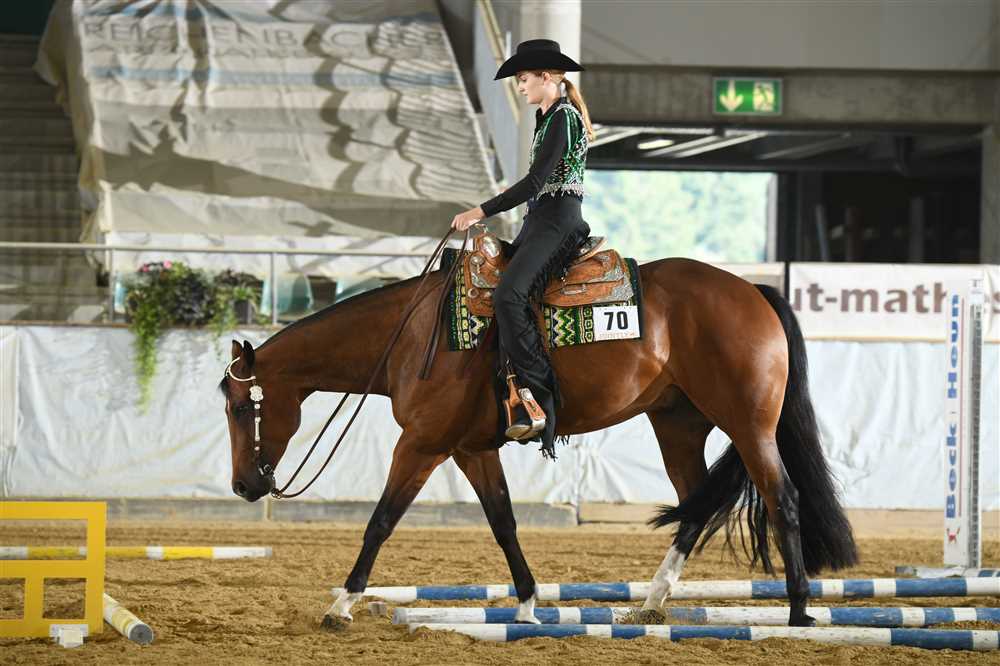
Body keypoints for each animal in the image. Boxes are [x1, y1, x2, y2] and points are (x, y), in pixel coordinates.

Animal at [219, 256, 858, 628]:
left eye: (238, 406)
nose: (244, 485)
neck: (411, 336)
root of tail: (752, 291)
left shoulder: (421, 445)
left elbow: (380, 521)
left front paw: (341, 604)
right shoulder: (471, 449)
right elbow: (503, 521)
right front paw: (526, 603)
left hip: (750, 425)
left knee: (782, 499)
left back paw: (799, 610)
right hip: (677, 423)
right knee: (695, 506)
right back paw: (652, 602)